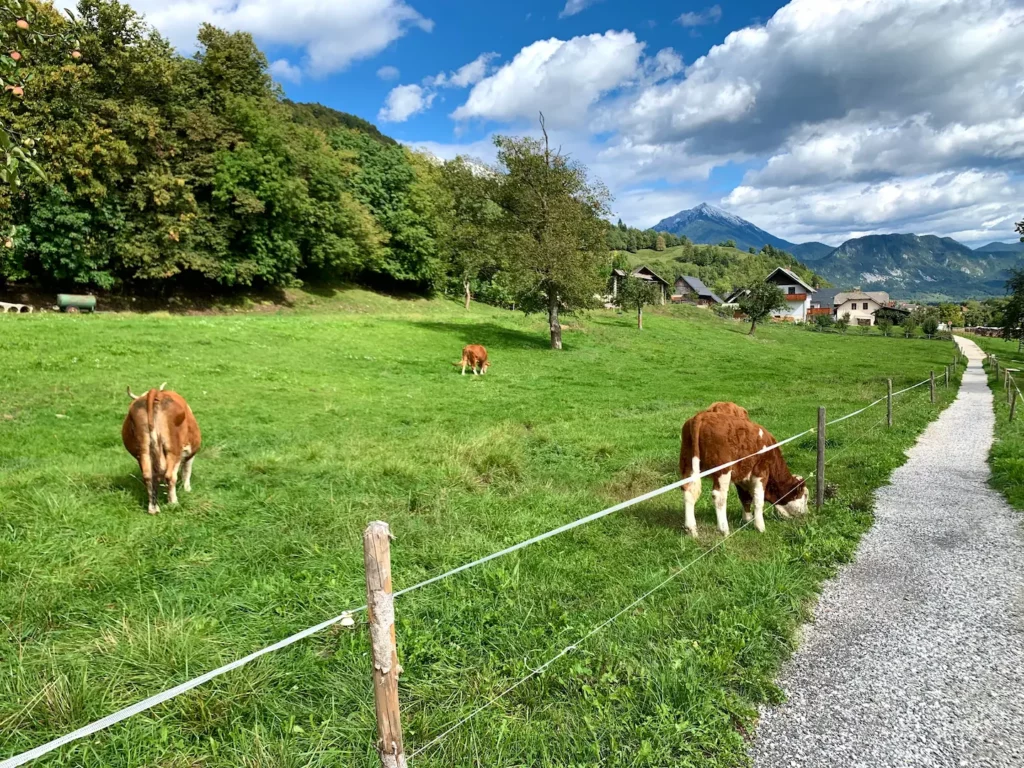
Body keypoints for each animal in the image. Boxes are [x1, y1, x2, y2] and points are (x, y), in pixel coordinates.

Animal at [122, 385, 201, 518]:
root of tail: (156, 393)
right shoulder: (189, 453)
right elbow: (186, 471)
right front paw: (187, 490)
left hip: (143, 450)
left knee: (148, 476)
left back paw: (153, 508)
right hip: (173, 450)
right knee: (170, 476)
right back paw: (173, 503)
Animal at [679, 405, 806, 536]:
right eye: (804, 496)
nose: (806, 513)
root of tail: (702, 416)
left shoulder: (742, 476)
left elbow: (745, 497)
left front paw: (747, 520)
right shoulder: (761, 472)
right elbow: (758, 500)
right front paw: (760, 526)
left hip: (687, 463)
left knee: (688, 491)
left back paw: (691, 529)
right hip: (723, 470)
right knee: (719, 496)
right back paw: (724, 529)